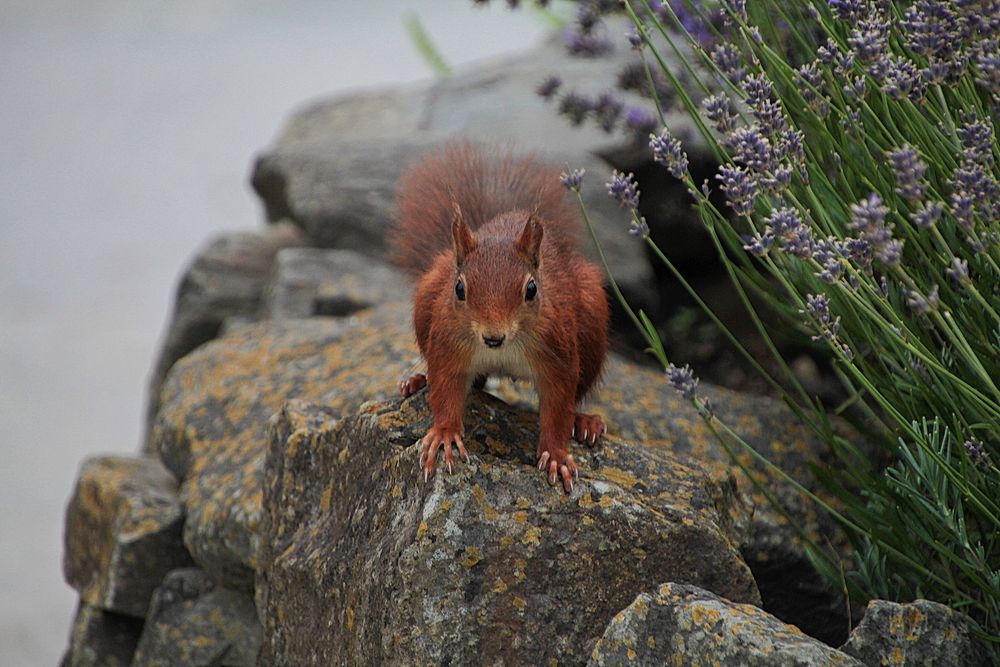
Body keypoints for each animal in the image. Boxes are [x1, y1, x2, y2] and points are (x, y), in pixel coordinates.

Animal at [390, 145, 608, 490]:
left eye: (531, 289)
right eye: (459, 288)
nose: (493, 337)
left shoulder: (557, 352)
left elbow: (559, 405)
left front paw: (557, 455)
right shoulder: (447, 344)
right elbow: (446, 389)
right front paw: (444, 433)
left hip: (593, 314)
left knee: (579, 392)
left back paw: (585, 421)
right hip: (426, 297)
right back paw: (417, 380)